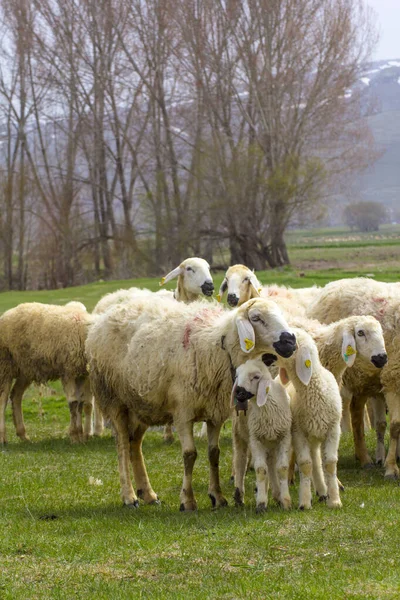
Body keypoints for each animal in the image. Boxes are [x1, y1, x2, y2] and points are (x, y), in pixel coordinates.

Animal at [0, 302, 94, 442]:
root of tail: (7, 313)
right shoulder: (68, 372)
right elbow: (74, 403)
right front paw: (74, 436)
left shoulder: (80, 374)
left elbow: (80, 403)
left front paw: (80, 434)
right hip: (5, 364)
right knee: (3, 398)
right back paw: (2, 437)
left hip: (26, 369)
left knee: (16, 395)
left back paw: (23, 434)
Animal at [230, 358, 292, 512]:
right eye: (237, 376)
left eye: (256, 377)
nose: (238, 392)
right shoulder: (256, 439)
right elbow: (261, 469)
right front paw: (261, 503)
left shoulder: (284, 437)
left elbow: (282, 468)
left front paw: (286, 501)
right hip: (240, 435)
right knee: (240, 462)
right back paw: (239, 495)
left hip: (270, 441)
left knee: (271, 463)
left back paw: (277, 494)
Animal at [304, 278, 398, 478]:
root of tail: (332, 284)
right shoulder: (393, 378)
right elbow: (395, 426)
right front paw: (391, 468)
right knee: (354, 415)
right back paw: (363, 458)